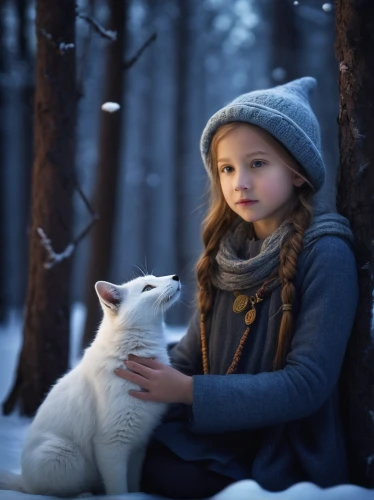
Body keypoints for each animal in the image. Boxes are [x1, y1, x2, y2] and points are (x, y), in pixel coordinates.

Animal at [0, 276, 181, 498]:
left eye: (154, 278)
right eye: (147, 288)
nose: (175, 277)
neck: (129, 357)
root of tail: (23, 479)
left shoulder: (138, 444)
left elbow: (133, 484)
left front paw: (136, 496)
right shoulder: (111, 443)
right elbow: (118, 488)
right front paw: (122, 497)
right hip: (63, 453)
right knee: (49, 491)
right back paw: (83, 494)